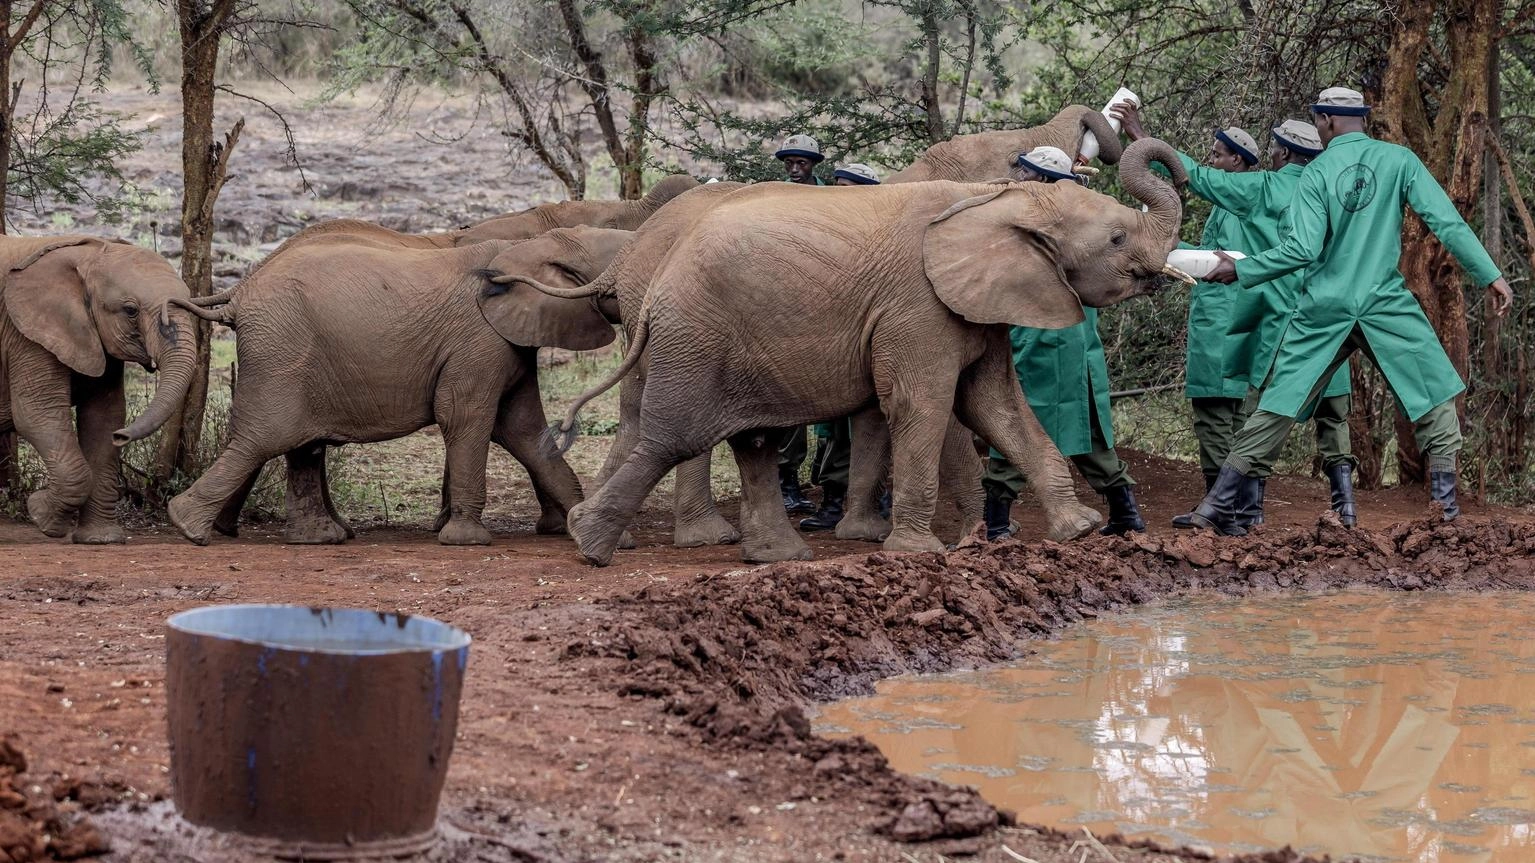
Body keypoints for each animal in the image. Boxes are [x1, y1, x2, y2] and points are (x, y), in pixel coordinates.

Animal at [0, 233, 199, 543]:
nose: (122, 437)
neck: (87, 254)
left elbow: (104, 417)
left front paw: (100, 540)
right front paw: (40, 514)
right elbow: (38, 415)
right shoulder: (25, 334)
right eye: (130, 311)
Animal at [161, 225, 629, 540]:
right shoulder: (478, 340)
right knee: (266, 435)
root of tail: (241, 291)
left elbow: (524, 430)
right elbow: (466, 416)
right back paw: (188, 526)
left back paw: (320, 538)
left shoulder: (508, 342)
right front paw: (467, 541)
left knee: (299, 444)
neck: (532, 246)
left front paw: (601, 536)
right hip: (281, 348)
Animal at [552, 137, 1185, 565]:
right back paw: (591, 541)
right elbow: (923, 405)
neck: (992, 200)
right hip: (698, 335)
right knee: (674, 437)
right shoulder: (918, 305)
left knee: (752, 441)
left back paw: (775, 557)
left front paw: (1074, 530)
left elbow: (996, 406)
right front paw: (920, 552)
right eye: (1117, 238)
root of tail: (653, 278)